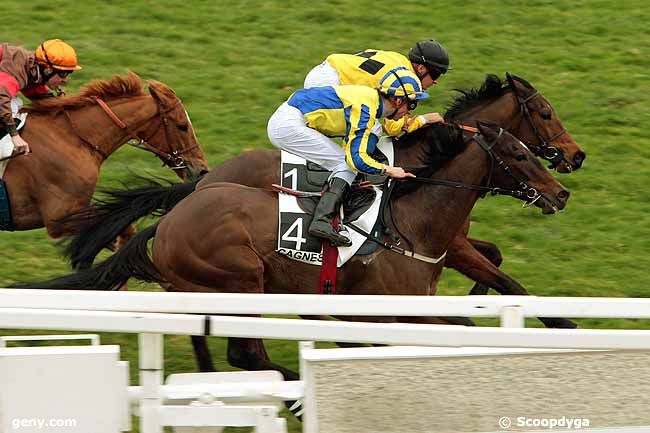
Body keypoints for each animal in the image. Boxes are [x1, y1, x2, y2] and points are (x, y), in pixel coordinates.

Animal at [15, 120, 568, 378]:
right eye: (519, 154)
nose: (561, 192)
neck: (411, 225)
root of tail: (170, 220)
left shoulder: (408, 305)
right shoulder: (386, 309)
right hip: (241, 280)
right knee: (246, 353)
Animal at [58, 73, 580, 324]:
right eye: (544, 114)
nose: (575, 160)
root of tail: (203, 182)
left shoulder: (451, 244)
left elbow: (497, 261)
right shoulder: (450, 245)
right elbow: (504, 276)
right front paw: (561, 325)